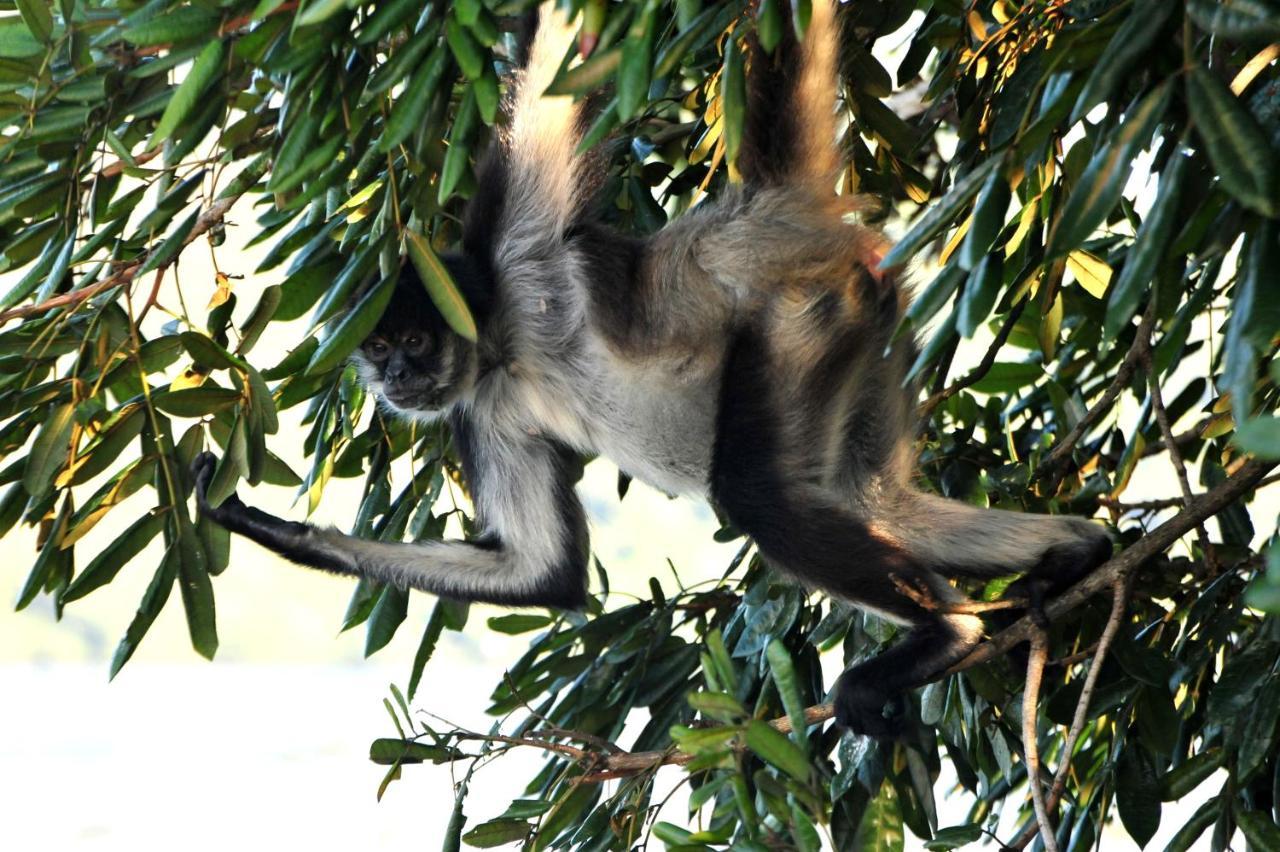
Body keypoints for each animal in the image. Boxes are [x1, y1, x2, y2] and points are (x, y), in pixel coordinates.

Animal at [194, 3, 1116, 736]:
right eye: (378, 351)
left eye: (414, 343)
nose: (392, 382)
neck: (500, 346)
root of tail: (765, 215)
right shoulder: (478, 411)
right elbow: (543, 572)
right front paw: (263, 524)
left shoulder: (515, 248)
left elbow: (552, 57)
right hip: (870, 324)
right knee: (875, 498)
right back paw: (1075, 550)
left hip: (800, 314)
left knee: (762, 492)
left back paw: (946, 633)